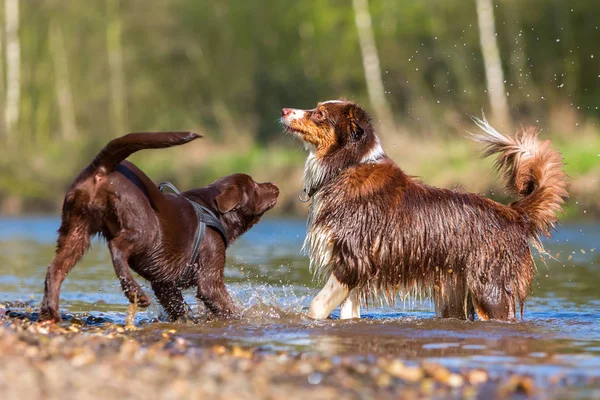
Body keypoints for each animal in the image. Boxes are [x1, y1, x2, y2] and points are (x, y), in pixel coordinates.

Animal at [39, 133, 278, 324]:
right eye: (254, 185)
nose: (275, 185)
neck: (212, 210)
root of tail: (102, 168)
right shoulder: (210, 276)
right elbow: (223, 304)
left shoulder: (164, 284)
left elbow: (178, 306)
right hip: (144, 228)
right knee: (117, 247)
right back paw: (135, 293)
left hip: (76, 231)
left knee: (54, 269)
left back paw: (50, 313)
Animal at [282, 100, 568, 322]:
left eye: (320, 113)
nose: (284, 110)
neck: (346, 166)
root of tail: (513, 213)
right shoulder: (353, 267)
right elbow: (348, 313)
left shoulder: (352, 259)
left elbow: (316, 306)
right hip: (453, 293)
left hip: (490, 290)